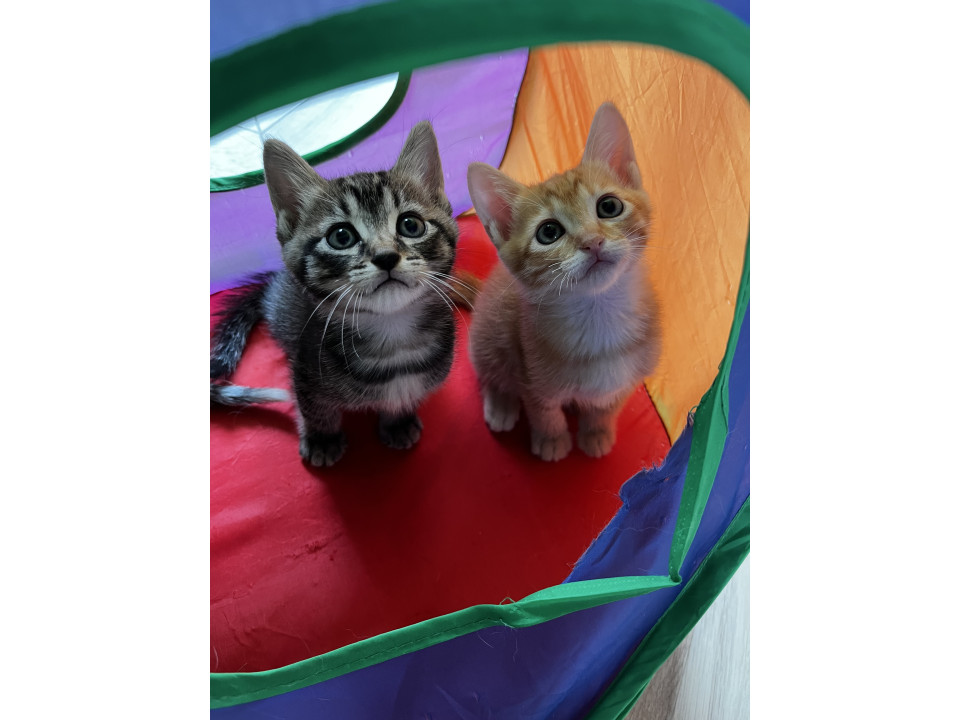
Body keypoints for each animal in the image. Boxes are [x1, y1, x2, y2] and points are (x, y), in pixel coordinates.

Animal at [210, 122, 462, 467]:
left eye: (411, 225)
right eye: (341, 237)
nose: (386, 256)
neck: (393, 337)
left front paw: (398, 421)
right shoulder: (304, 370)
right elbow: (313, 407)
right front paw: (322, 438)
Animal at [466, 102, 661, 461]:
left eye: (609, 206)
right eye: (548, 232)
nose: (592, 241)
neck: (599, 316)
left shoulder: (626, 380)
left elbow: (608, 407)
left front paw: (597, 431)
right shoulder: (530, 373)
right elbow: (543, 410)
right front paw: (552, 439)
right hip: (490, 335)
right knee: (489, 371)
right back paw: (501, 404)